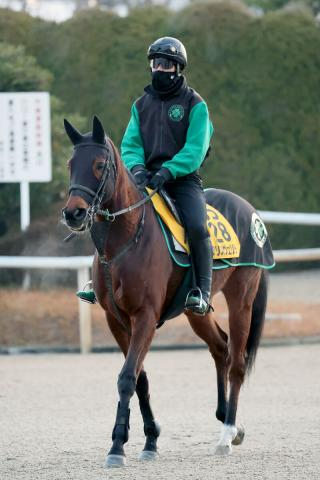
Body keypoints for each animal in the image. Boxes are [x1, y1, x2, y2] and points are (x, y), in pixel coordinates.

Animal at [62, 115, 270, 464]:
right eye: (69, 164)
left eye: (99, 164)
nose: (73, 213)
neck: (126, 239)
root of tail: (250, 212)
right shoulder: (116, 320)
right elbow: (140, 379)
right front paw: (150, 440)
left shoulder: (144, 317)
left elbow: (127, 377)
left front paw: (117, 446)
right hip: (196, 311)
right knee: (221, 348)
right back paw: (226, 418)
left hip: (241, 300)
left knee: (237, 362)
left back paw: (228, 432)